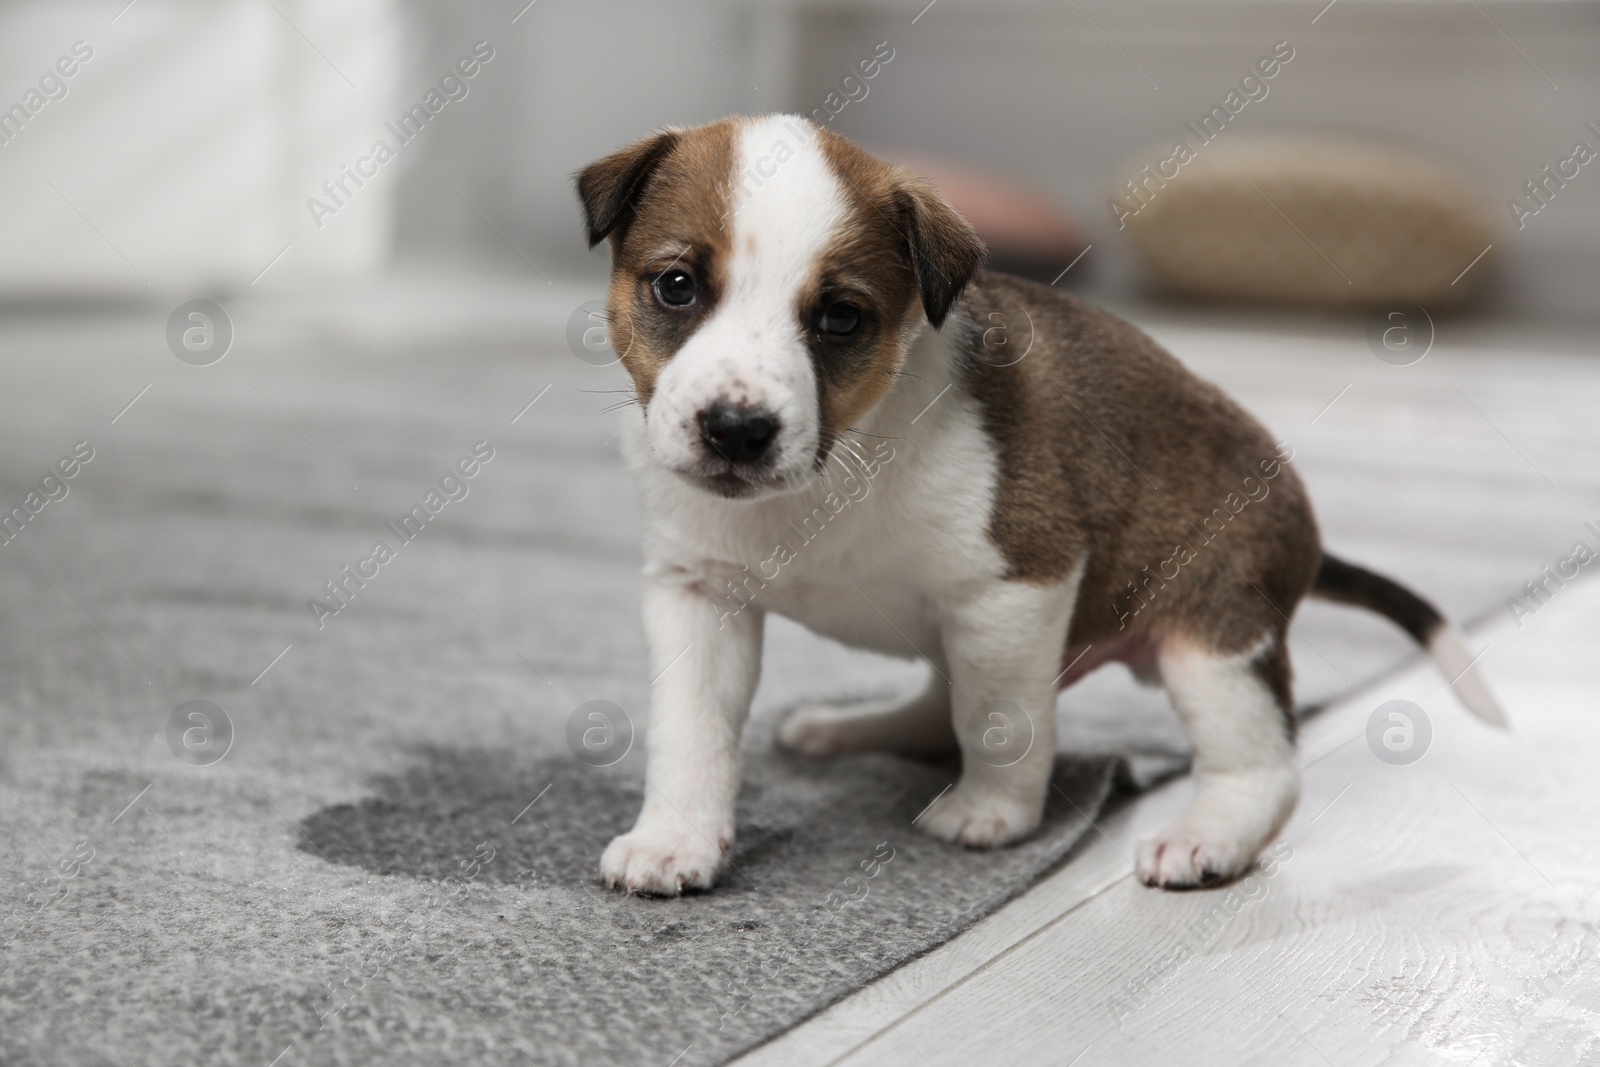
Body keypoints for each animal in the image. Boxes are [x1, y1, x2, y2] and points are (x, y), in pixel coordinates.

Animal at [576, 116, 1497, 895]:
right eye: (676, 285)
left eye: (840, 318)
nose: (737, 430)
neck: (838, 465)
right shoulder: (696, 595)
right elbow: (691, 732)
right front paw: (675, 837)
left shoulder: (1017, 588)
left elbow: (997, 719)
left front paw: (994, 812)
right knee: (934, 703)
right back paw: (854, 727)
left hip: (1213, 644)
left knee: (1261, 766)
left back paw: (1207, 835)